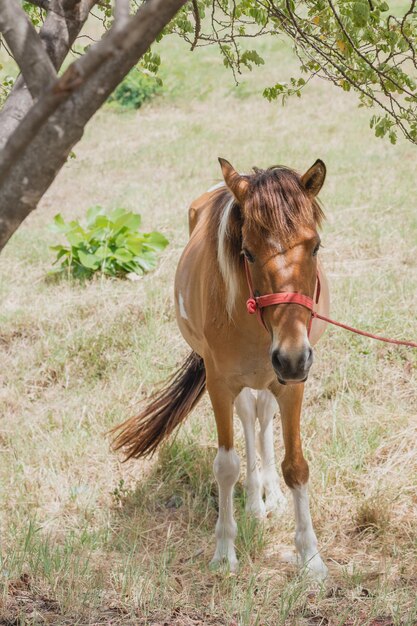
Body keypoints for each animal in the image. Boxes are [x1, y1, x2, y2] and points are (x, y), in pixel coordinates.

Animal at [110, 158, 328, 576]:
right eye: (247, 253)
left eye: (315, 246)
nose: (292, 356)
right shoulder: (220, 386)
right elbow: (226, 465)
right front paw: (225, 552)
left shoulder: (291, 384)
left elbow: (296, 466)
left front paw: (310, 558)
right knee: (248, 416)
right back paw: (254, 501)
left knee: (262, 416)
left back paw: (270, 495)